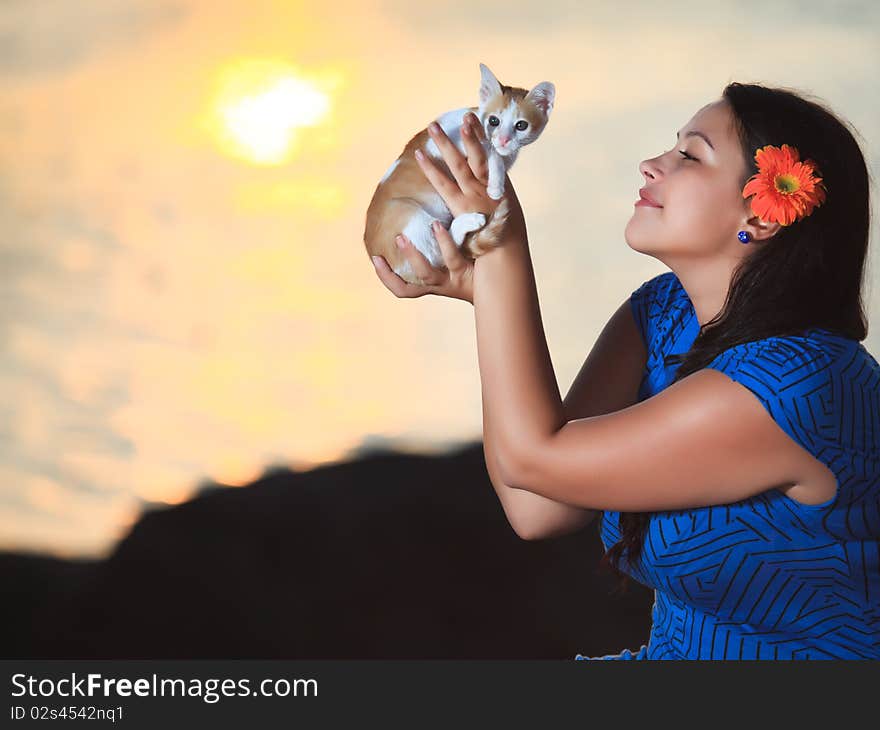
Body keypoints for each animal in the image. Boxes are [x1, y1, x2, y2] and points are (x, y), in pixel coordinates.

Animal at [360, 62, 552, 284]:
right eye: (494, 121)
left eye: (521, 125)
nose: (504, 140)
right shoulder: (445, 138)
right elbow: (490, 150)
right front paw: (496, 184)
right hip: (404, 213)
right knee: (439, 253)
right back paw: (468, 221)